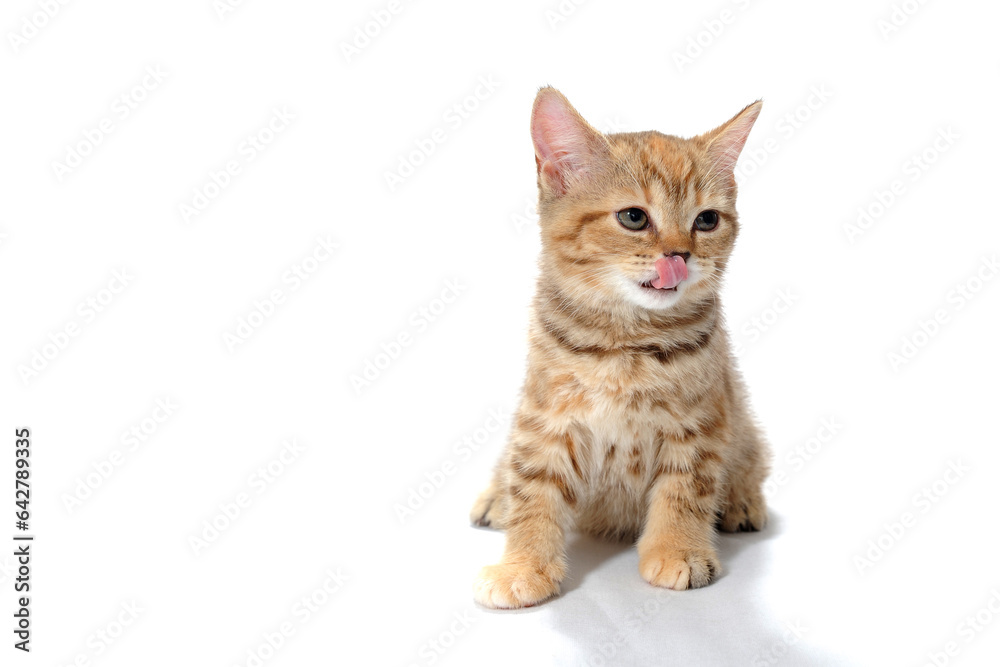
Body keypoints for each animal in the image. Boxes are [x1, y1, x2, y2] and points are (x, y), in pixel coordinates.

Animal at [472, 87, 768, 612]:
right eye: (634, 217)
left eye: (707, 220)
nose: (680, 255)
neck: (623, 341)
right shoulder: (545, 418)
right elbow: (533, 489)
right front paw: (522, 566)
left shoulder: (700, 422)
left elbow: (685, 490)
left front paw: (677, 550)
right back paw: (496, 498)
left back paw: (741, 500)